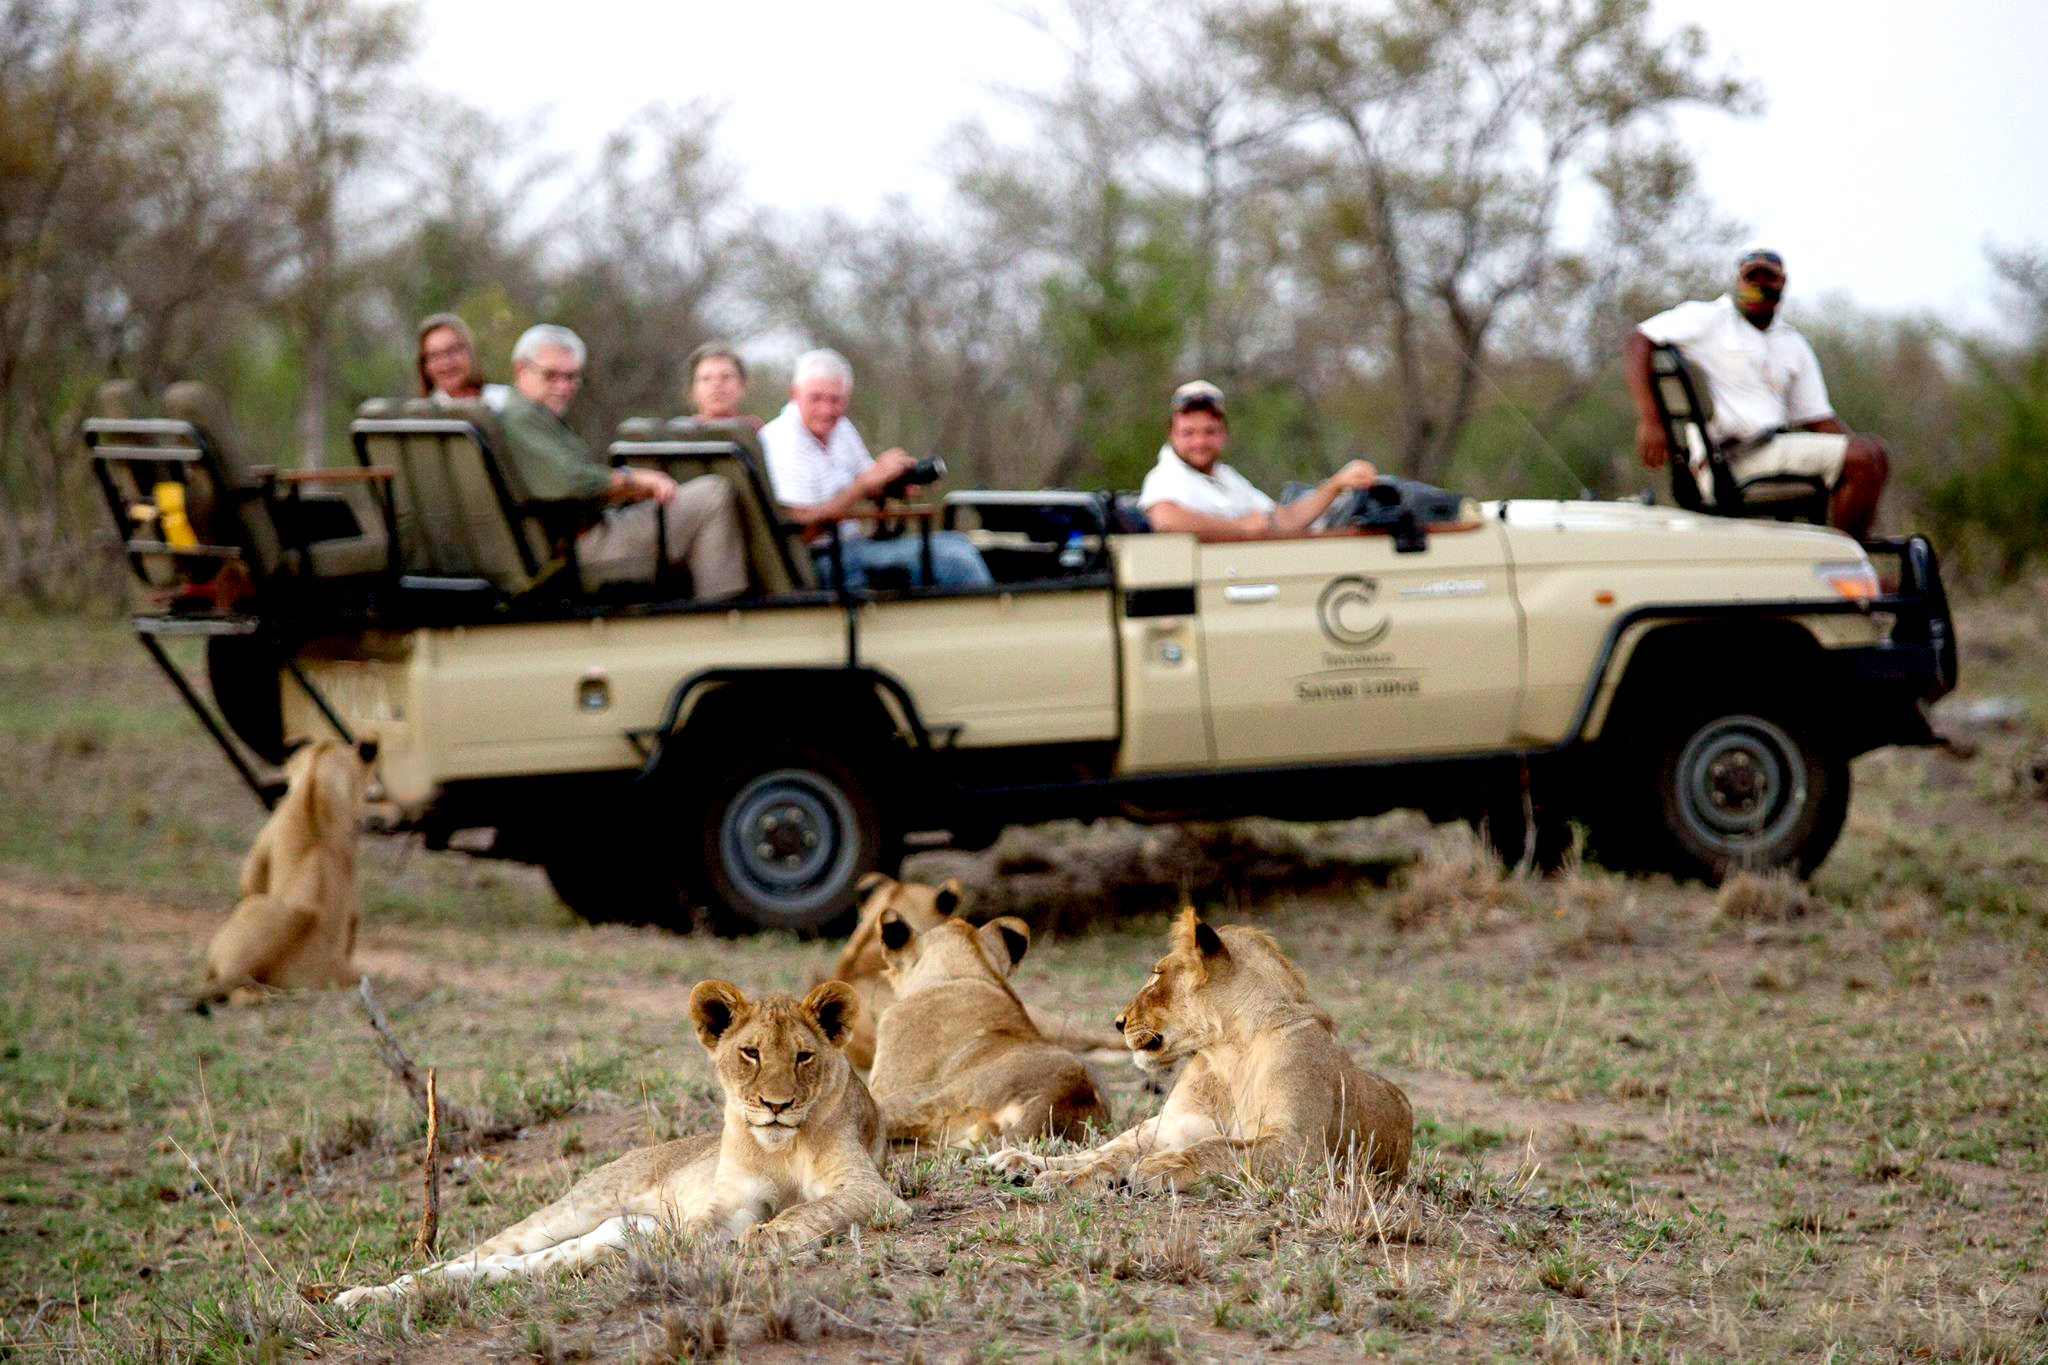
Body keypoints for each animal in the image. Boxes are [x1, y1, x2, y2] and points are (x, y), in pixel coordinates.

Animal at [334, 980, 906, 1308]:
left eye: (804, 1056)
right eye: (751, 1053)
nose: (776, 1105)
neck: (779, 1146)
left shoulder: (873, 1192)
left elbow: (813, 1209)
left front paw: (767, 1235)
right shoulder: (729, 1203)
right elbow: (703, 1227)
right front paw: (690, 1246)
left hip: (598, 1236)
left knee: (518, 1268)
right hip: (568, 1211)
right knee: (469, 1256)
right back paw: (361, 1294)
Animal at [985, 907, 1411, 1193]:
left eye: (1157, 975)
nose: (1119, 1022)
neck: (1229, 1052)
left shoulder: (1300, 1148)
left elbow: (1218, 1148)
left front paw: (1157, 1168)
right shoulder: (1177, 1125)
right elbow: (1113, 1154)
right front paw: (1069, 1176)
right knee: (1104, 1147)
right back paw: (1021, 1162)